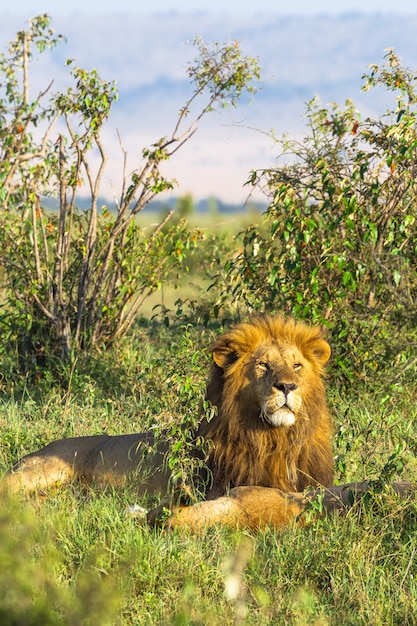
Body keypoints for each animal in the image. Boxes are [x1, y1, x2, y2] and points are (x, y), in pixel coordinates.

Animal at [2, 312, 334, 528]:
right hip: (44, 472)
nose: (287, 386)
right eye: (264, 365)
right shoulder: (217, 487)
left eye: (297, 366)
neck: (274, 438)